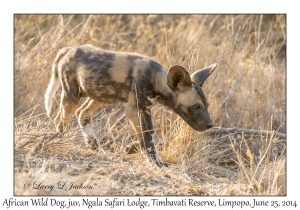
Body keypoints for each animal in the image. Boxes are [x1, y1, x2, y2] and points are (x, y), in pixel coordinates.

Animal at [44, 44, 217, 167]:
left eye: (206, 105)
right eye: (196, 106)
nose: (210, 125)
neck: (156, 80)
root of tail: (69, 49)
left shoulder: (145, 109)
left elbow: (150, 135)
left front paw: (153, 158)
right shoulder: (133, 110)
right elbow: (146, 138)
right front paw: (155, 163)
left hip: (100, 96)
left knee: (82, 113)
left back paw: (94, 145)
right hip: (72, 97)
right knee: (61, 120)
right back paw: (59, 140)